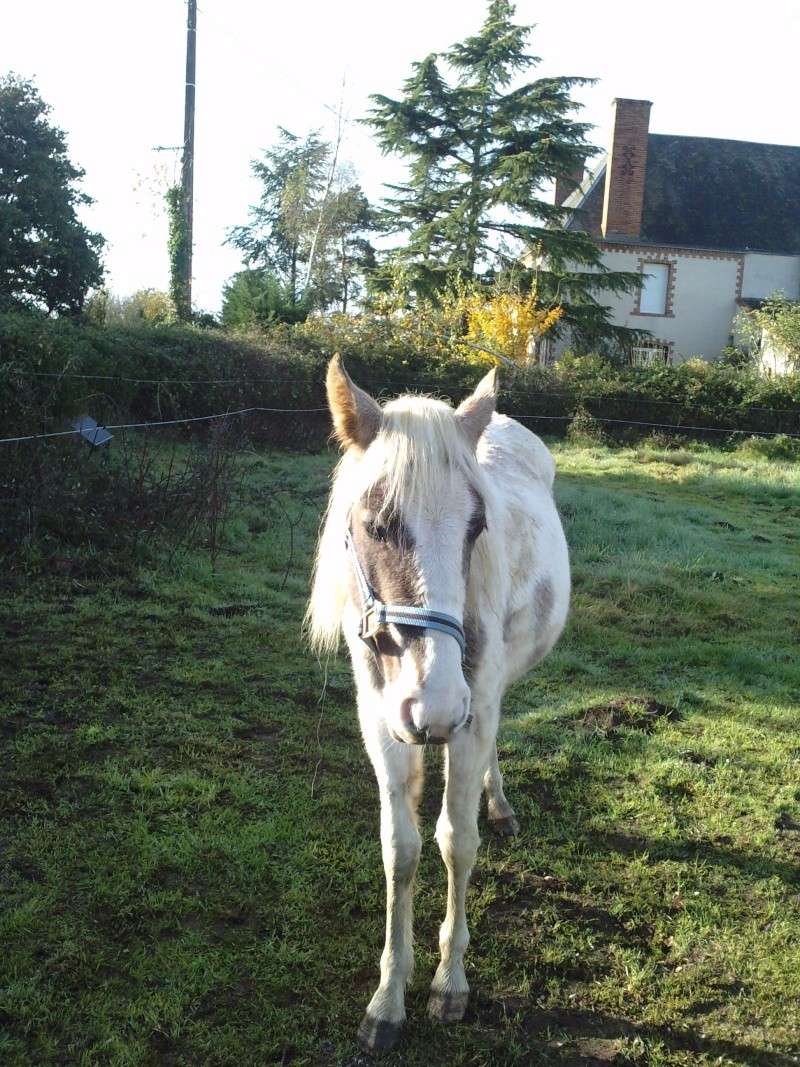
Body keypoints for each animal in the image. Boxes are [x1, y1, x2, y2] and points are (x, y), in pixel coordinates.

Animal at [309, 356, 576, 1049]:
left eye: (477, 526)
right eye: (375, 525)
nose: (435, 707)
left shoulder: (470, 714)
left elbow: (457, 841)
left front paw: (449, 983)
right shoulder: (380, 723)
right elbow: (399, 849)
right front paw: (387, 997)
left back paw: (499, 803)